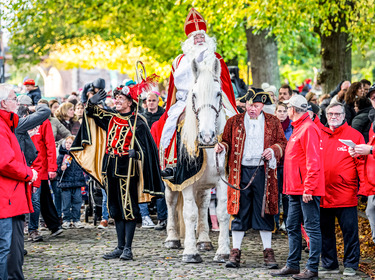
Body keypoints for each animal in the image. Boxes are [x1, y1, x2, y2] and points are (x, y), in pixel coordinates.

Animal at [164, 56, 232, 262]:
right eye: (193, 95)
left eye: (218, 93)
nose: (207, 136)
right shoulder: (185, 180)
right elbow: (190, 214)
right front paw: (190, 252)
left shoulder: (223, 180)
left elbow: (222, 213)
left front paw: (223, 252)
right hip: (169, 182)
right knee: (171, 203)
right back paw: (173, 239)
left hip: (203, 184)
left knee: (203, 205)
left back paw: (203, 240)